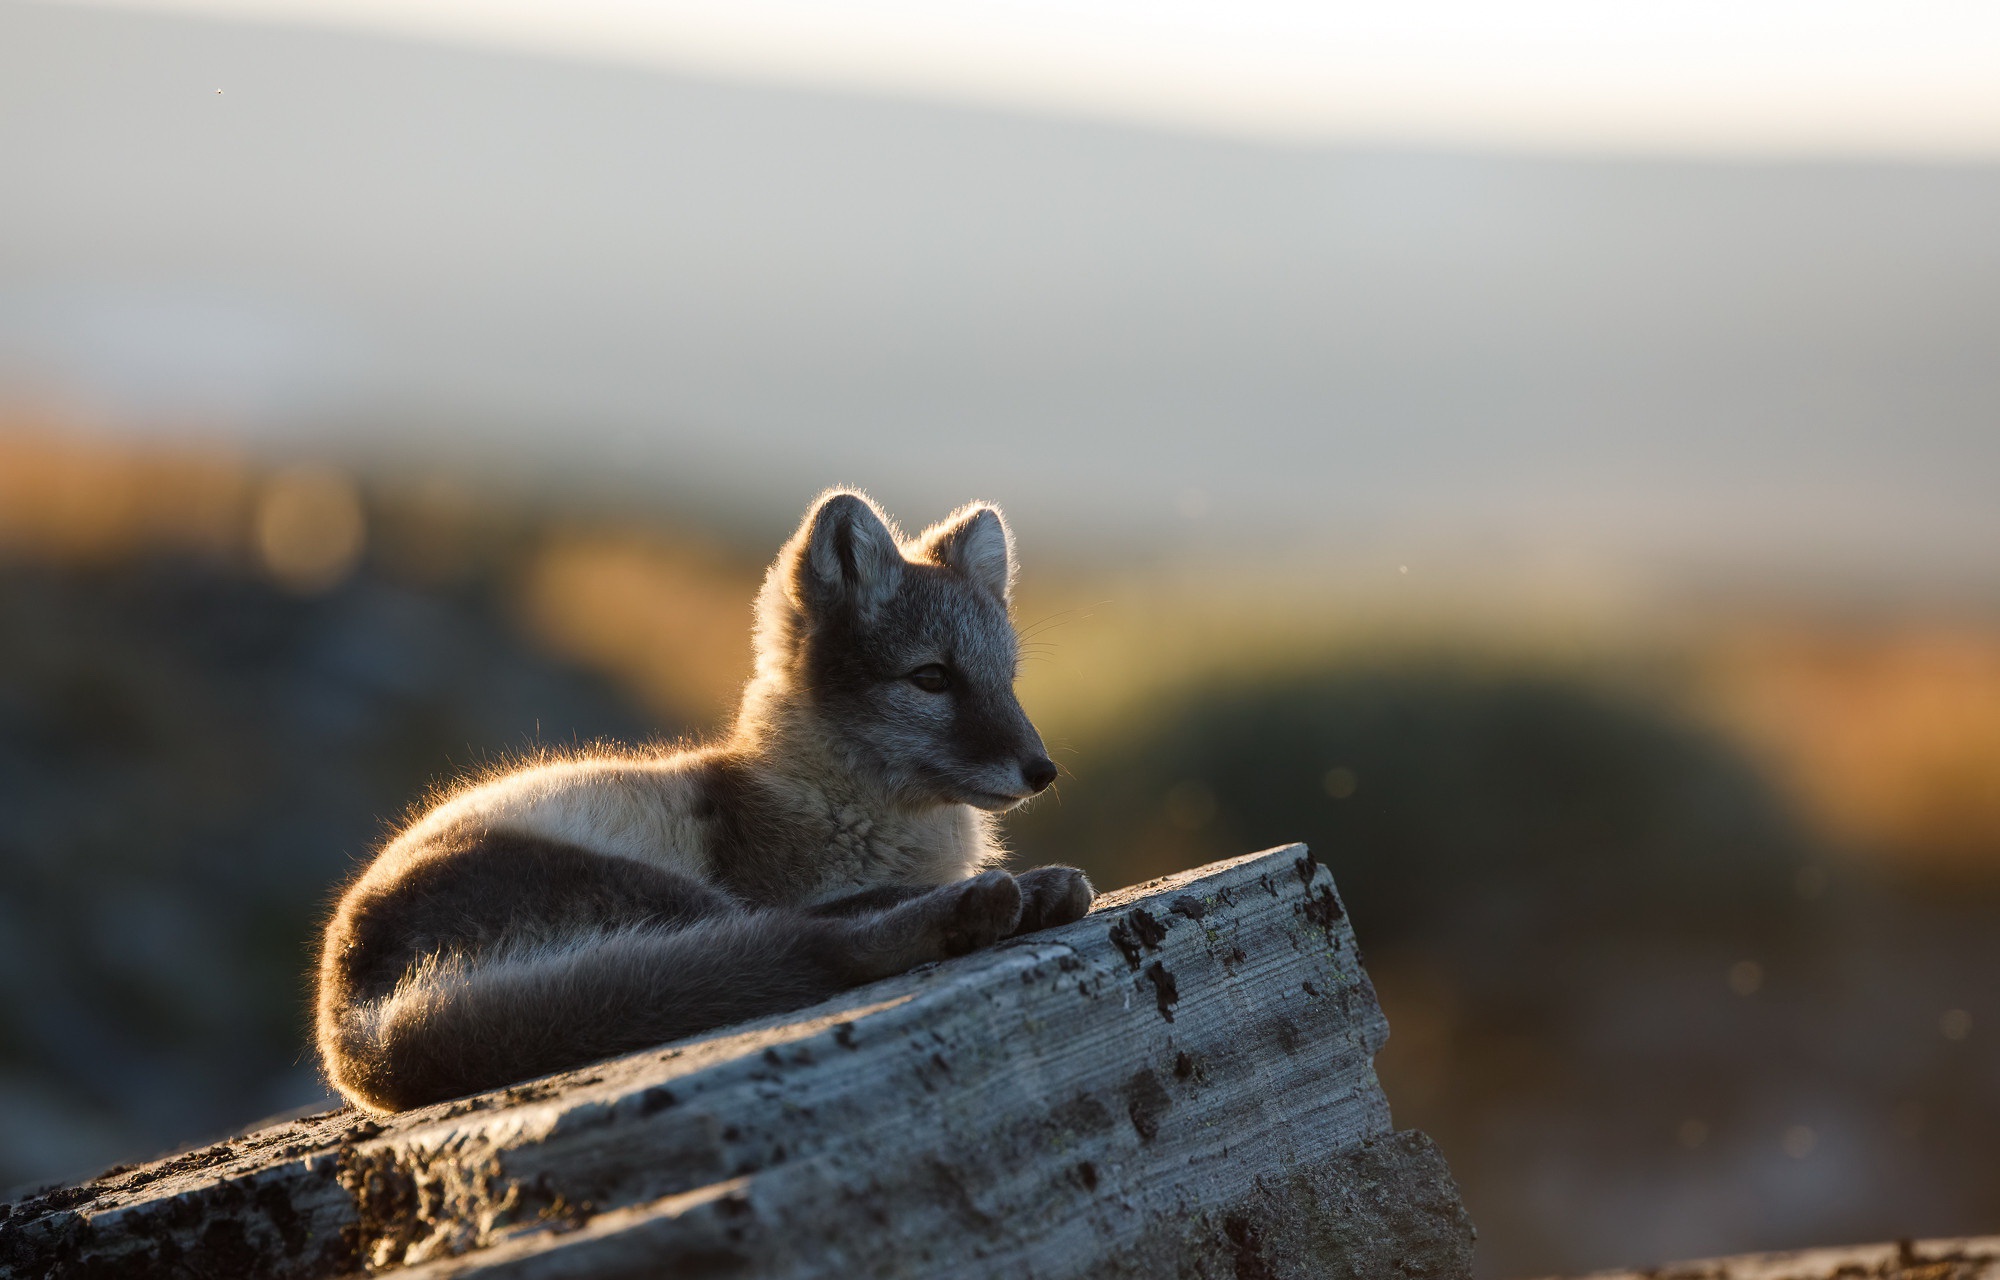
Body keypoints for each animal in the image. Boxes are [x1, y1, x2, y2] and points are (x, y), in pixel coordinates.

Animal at [315, 490, 1093, 1114]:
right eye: (931, 678)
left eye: (1007, 680)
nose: (1043, 770)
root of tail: (348, 1022)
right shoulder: (780, 881)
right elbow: (854, 900)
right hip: (663, 892)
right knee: (808, 941)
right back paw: (981, 908)